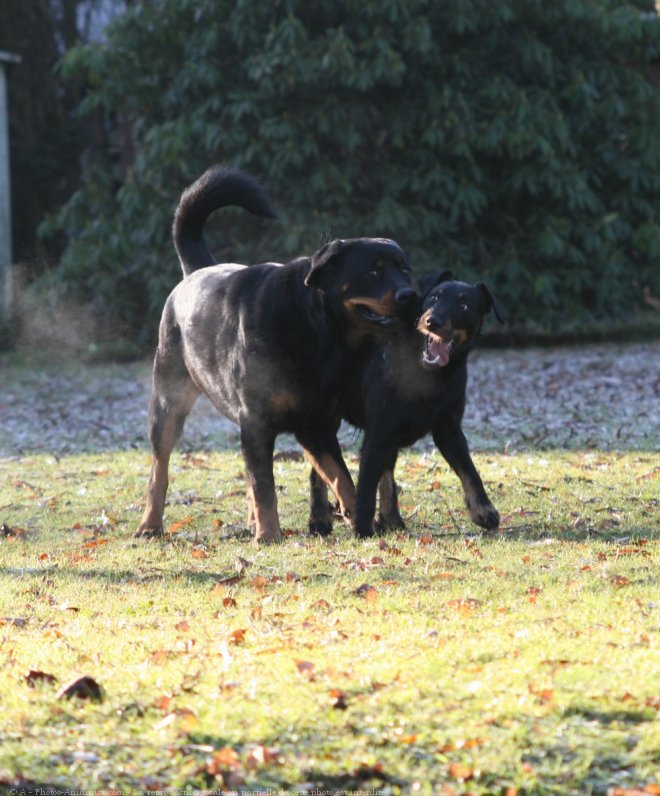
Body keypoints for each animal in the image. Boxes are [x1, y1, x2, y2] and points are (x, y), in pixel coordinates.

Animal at [137, 166, 418, 544]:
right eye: (373, 271)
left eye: (405, 269)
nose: (409, 295)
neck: (318, 331)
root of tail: (195, 271)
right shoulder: (257, 422)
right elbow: (265, 486)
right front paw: (270, 534)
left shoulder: (315, 424)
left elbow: (340, 474)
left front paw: (357, 516)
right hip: (169, 402)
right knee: (160, 468)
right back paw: (150, 524)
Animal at [306, 270, 502, 536]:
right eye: (433, 297)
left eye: (464, 305)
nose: (432, 321)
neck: (427, 373)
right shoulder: (378, 432)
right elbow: (366, 484)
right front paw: (362, 527)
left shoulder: (448, 428)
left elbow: (469, 469)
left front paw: (483, 510)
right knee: (320, 468)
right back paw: (319, 520)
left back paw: (390, 518)